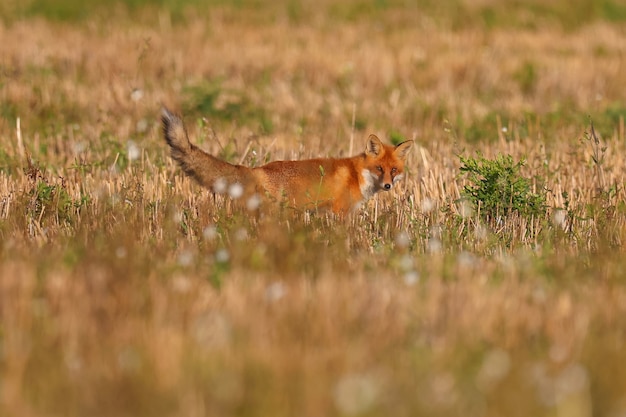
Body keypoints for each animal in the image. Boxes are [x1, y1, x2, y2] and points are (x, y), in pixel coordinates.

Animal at [161, 106, 412, 214]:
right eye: (379, 168)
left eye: (394, 170)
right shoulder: (340, 210)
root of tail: (257, 169)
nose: (388, 186)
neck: (357, 174)